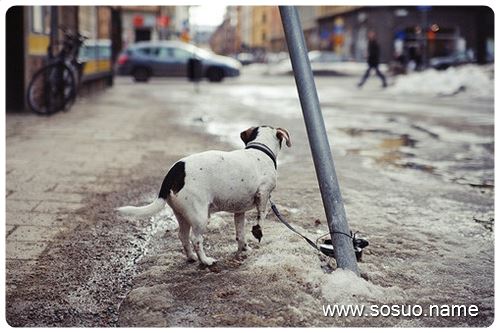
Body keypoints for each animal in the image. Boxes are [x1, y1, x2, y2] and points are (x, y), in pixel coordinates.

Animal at [115, 126, 292, 266]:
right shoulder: (263, 194)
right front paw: (257, 231)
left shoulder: (239, 211)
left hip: (182, 215)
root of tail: (175, 170)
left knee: (183, 236)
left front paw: (244, 248)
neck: (260, 149)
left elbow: (240, 234)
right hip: (199, 216)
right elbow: (261, 216)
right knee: (196, 239)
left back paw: (192, 257)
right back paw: (205, 261)